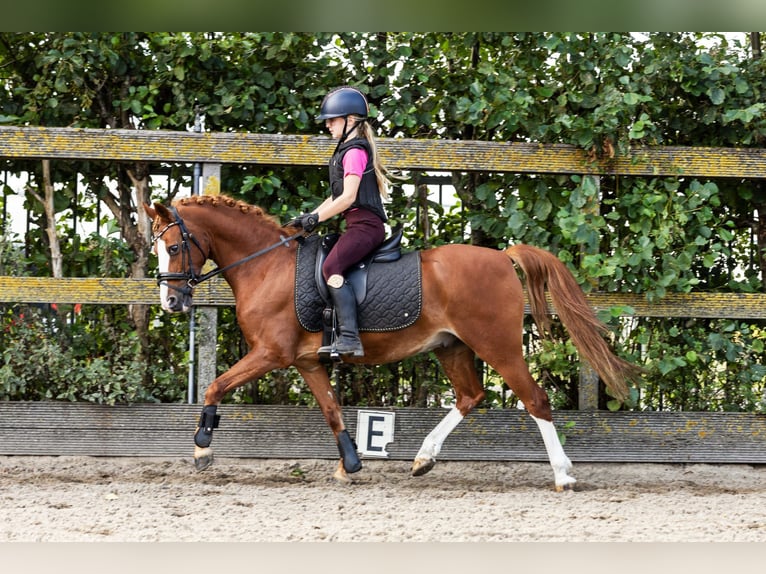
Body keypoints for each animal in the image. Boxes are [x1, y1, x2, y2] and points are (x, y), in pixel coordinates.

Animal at [144, 196, 640, 492]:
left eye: (174, 247)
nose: (171, 302)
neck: (266, 267)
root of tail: (502, 257)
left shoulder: (270, 353)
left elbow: (215, 386)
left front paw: (202, 448)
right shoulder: (307, 362)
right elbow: (332, 410)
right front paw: (350, 464)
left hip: (497, 346)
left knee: (535, 399)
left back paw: (564, 476)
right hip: (451, 347)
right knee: (470, 395)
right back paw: (423, 459)